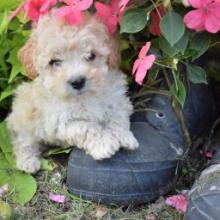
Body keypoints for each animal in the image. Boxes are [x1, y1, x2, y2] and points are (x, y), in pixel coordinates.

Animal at [6, 14, 138, 174]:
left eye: (91, 55)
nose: (77, 81)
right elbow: (87, 127)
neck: (86, 96)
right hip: (24, 115)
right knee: (23, 142)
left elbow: (118, 119)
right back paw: (28, 162)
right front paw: (103, 144)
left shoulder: (118, 101)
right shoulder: (60, 121)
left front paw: (124, 137)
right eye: (54, 61)